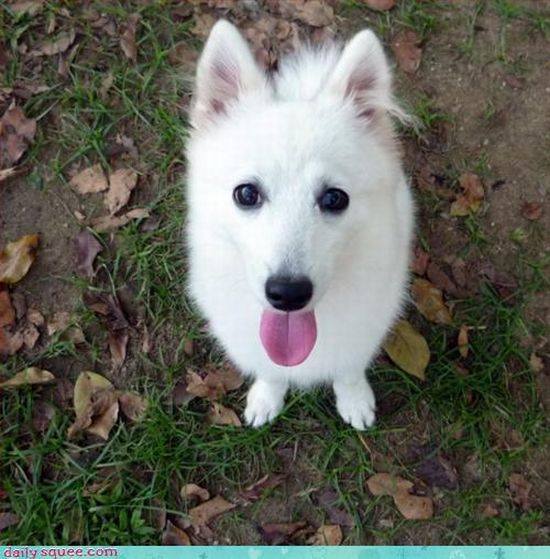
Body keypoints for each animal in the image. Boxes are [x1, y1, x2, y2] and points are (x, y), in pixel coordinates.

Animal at [186, 20, 413, 429]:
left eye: (335, 198)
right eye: (246, 194)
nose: (288, 293)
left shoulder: (362, 330)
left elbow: (349, 370)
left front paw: (355, 400)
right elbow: (271, 370)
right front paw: (266, 397)